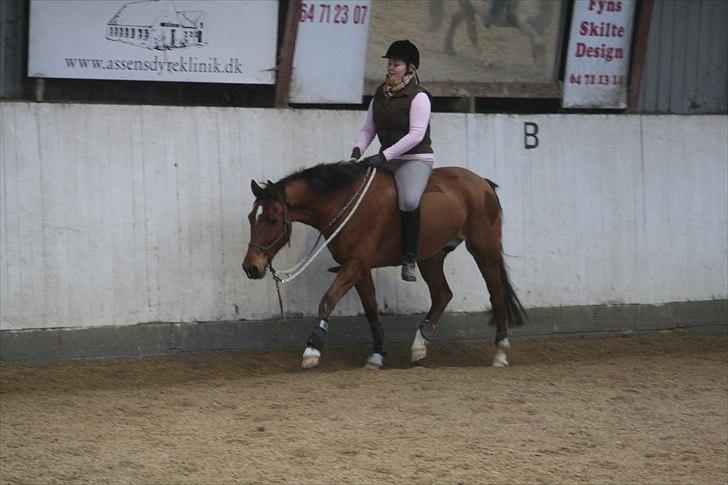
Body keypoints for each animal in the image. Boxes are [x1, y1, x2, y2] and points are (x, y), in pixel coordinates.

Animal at [243, 163, 524, 366]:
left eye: (271, 219)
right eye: (250, 217)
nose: (250, 267)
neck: (345, 203)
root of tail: (481, 182)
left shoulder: (355, 264)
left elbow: (327, 300)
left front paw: (312, 348)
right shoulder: (358, 267)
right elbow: (371, 308)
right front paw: (377, 353)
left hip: (484, 249)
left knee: (496, 294)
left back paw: (500, 352)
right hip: (431, 256)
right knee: (442, 294)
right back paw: (419, 347)